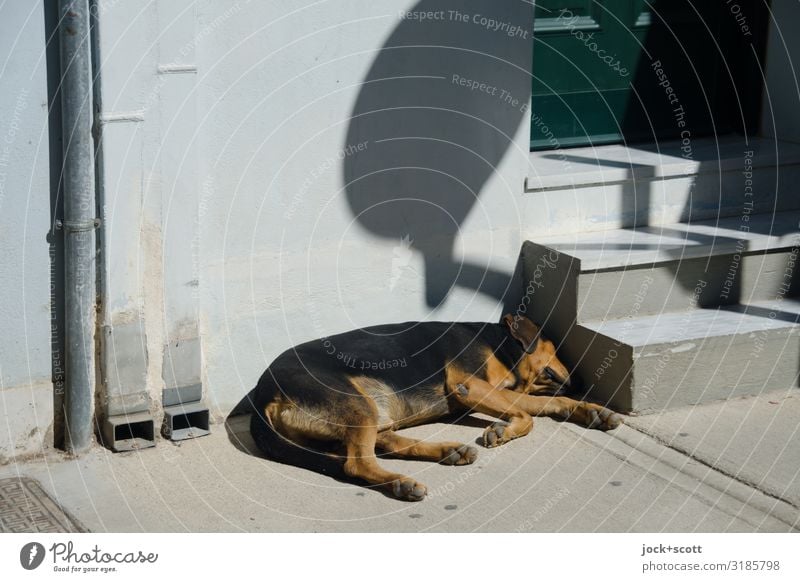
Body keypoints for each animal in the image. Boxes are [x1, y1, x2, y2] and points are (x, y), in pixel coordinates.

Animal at [247, 314, 620, 502]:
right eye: (555, 345)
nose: (580, 378)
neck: (499, 345)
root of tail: (261, 393)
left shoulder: (499, 389)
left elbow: (551, 402)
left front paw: (592, 411)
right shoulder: (468, 384)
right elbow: (528, 417)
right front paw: (504, 431)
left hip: (369, 412)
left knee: (386, 444)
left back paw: (449, 451)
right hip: (355, 403)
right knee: (357, 464)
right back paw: (401, 483)